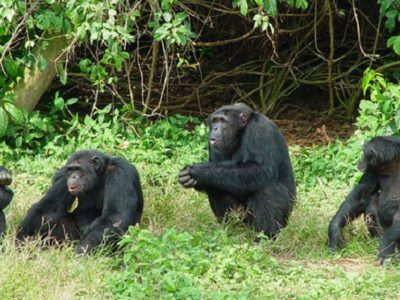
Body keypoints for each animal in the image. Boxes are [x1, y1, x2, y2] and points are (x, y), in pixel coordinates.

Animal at [16, 150, 144, 253]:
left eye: (78, 169)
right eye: (70, 170)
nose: (73, 176)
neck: (98, 176)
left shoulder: (120, 173)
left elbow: (115, 216)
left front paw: (83, 249)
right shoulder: (63, 175)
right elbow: (49, 207)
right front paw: (23, 238)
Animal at [178, 103, 296, 237]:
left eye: (223, 121)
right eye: (215, 121)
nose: (215, 129)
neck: (240, 134)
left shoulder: (260, 129)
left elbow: (261, 169)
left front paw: (197, 171)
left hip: (283, 220)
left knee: (265, 189)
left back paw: (263, 237)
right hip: (243, 221)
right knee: (215, 184)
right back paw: (232, 231)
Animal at [328, 136, 400, 264]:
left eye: (363, 153)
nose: (360, 160)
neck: (392, 165)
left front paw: (386, 248)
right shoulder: (372, 169)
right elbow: (363, 193)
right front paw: (335, 232)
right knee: (372, 199)